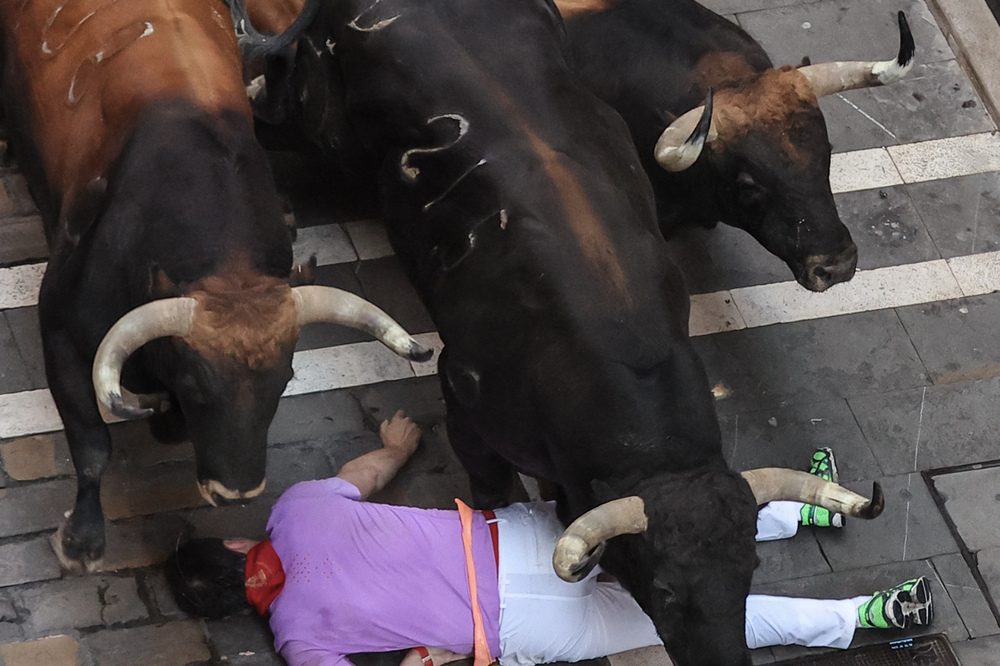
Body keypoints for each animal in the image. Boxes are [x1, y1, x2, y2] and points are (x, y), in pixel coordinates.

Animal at [0, 0, 426, 572]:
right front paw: (81, 543)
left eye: (285, 381)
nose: (236, 493)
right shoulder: (61, 336)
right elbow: (92, 447)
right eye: (198, 385)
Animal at [240, 0, 884, 660]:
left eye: (749, 570)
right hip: (312, 126)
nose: (835, 263)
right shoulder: (465, 402)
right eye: (667, 590)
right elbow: (494, 493)